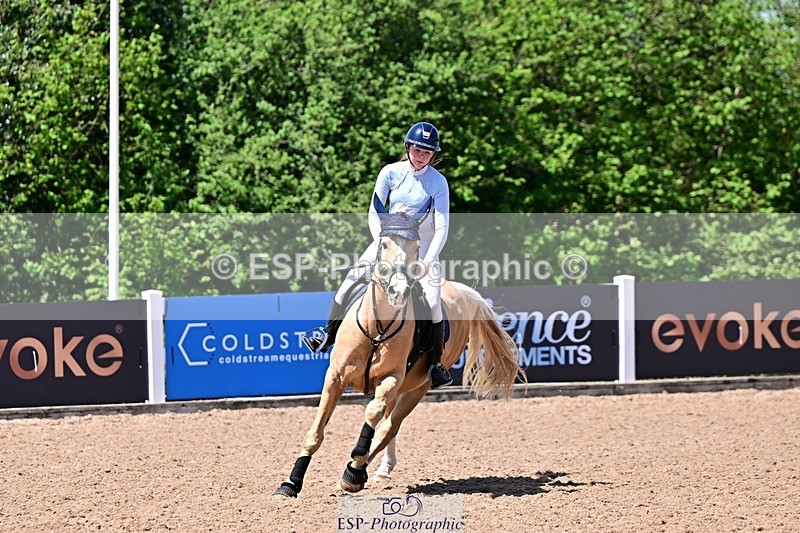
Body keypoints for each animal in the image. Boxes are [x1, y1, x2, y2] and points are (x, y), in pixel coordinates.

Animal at [274, 212, 525, 497]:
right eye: (383, 244)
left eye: (416, 248)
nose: (398, 291)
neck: (377, 327)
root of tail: (461, 291)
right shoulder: (336, 377)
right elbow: (316, 432)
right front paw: (291, 482)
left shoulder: (392, 379)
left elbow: (373, 416)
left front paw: (356, 463)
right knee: (387, 426)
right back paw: (378, 469)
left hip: (417, 387)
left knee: (388, 427)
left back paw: (355, 473)